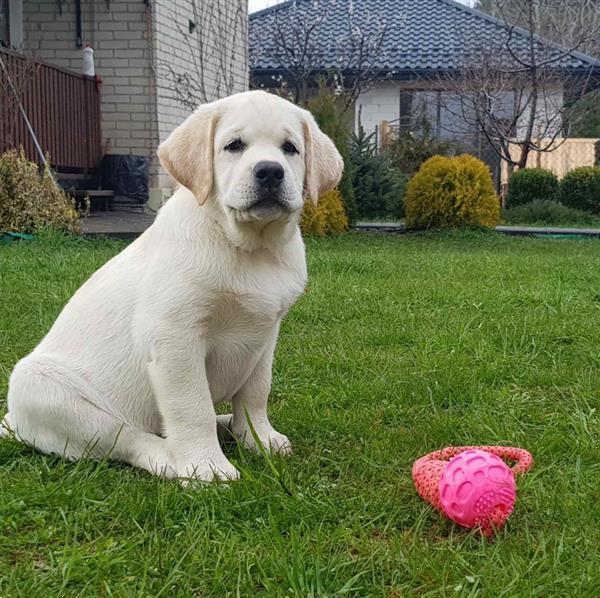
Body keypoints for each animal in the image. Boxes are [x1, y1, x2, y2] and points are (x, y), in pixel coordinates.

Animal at [2, 90, 342, 482]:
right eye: (234, 146)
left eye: (290, 148)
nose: (270, 171)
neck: (249, 247)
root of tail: (11, 422)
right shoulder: (174, 338)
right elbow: (191, 407)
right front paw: (206, 465)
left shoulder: (265, 334)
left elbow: (256, 393)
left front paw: (258, 438)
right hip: (46, 388)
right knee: (130, 440)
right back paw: (174, 459)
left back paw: (226, 424)